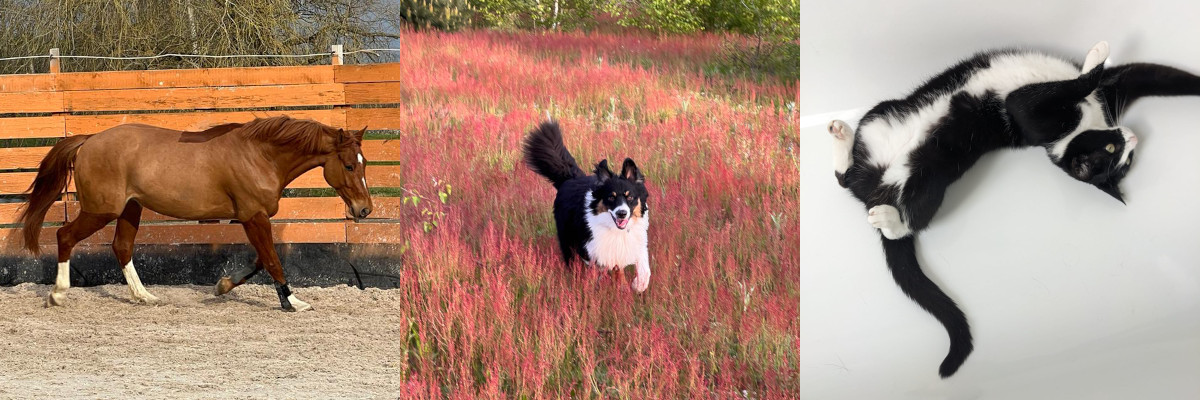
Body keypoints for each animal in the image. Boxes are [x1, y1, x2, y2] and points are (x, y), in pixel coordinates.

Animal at [14, 115, 369, 312]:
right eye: (349, 165)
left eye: (363, 163)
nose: (364, 209)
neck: (260, 156)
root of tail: (88, 141)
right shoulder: (253, 216)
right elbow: (271, 260)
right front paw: (292, 302)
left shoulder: (252, 218)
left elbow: (260, 259)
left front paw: (223, 286)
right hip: (102, 210)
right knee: (64, 235)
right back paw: (57, 295)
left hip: (130, 208)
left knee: (122, 247)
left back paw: (145, 297)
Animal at [523, 120, 652, 291]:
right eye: (611, 197)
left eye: (630, 196)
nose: (622, 213)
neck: (616, 229)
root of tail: (570, 178)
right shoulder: (592, 246)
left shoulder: (635, 241)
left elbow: (642, 269)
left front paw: (636, 285)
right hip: (568, 240)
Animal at [830, 41, 1200, 377]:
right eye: (1112, 149)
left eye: (1128, 160)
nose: (1134, 138)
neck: (1084, 122)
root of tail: (878, 189)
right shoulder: (1050, 110)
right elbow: (1130, 76)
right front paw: (1095, 58)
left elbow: (1145, 75)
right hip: (881, 116)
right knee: (857, 181)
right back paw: (843, 140)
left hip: (929, 180)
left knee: (900, 208)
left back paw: (882, 211)